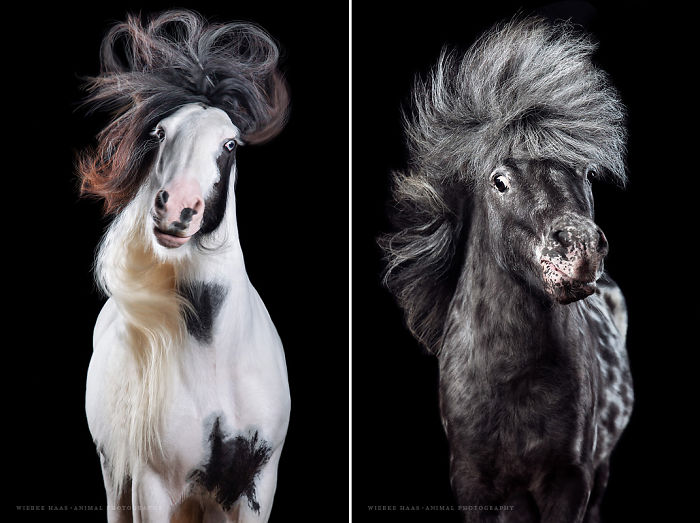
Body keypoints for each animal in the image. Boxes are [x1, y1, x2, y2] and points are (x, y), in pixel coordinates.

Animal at [78, 11, 290, 522]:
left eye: (230, 144)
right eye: (159, 134)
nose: (177, 208)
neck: (213, 357)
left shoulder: (256, 486)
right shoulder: (154, 486)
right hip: (116, 478)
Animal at [381, 18, 633, 522]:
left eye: (585, 173)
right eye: (500, 181)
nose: (581, 246)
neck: (514, 378)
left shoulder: (570, 480)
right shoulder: (475, 484)